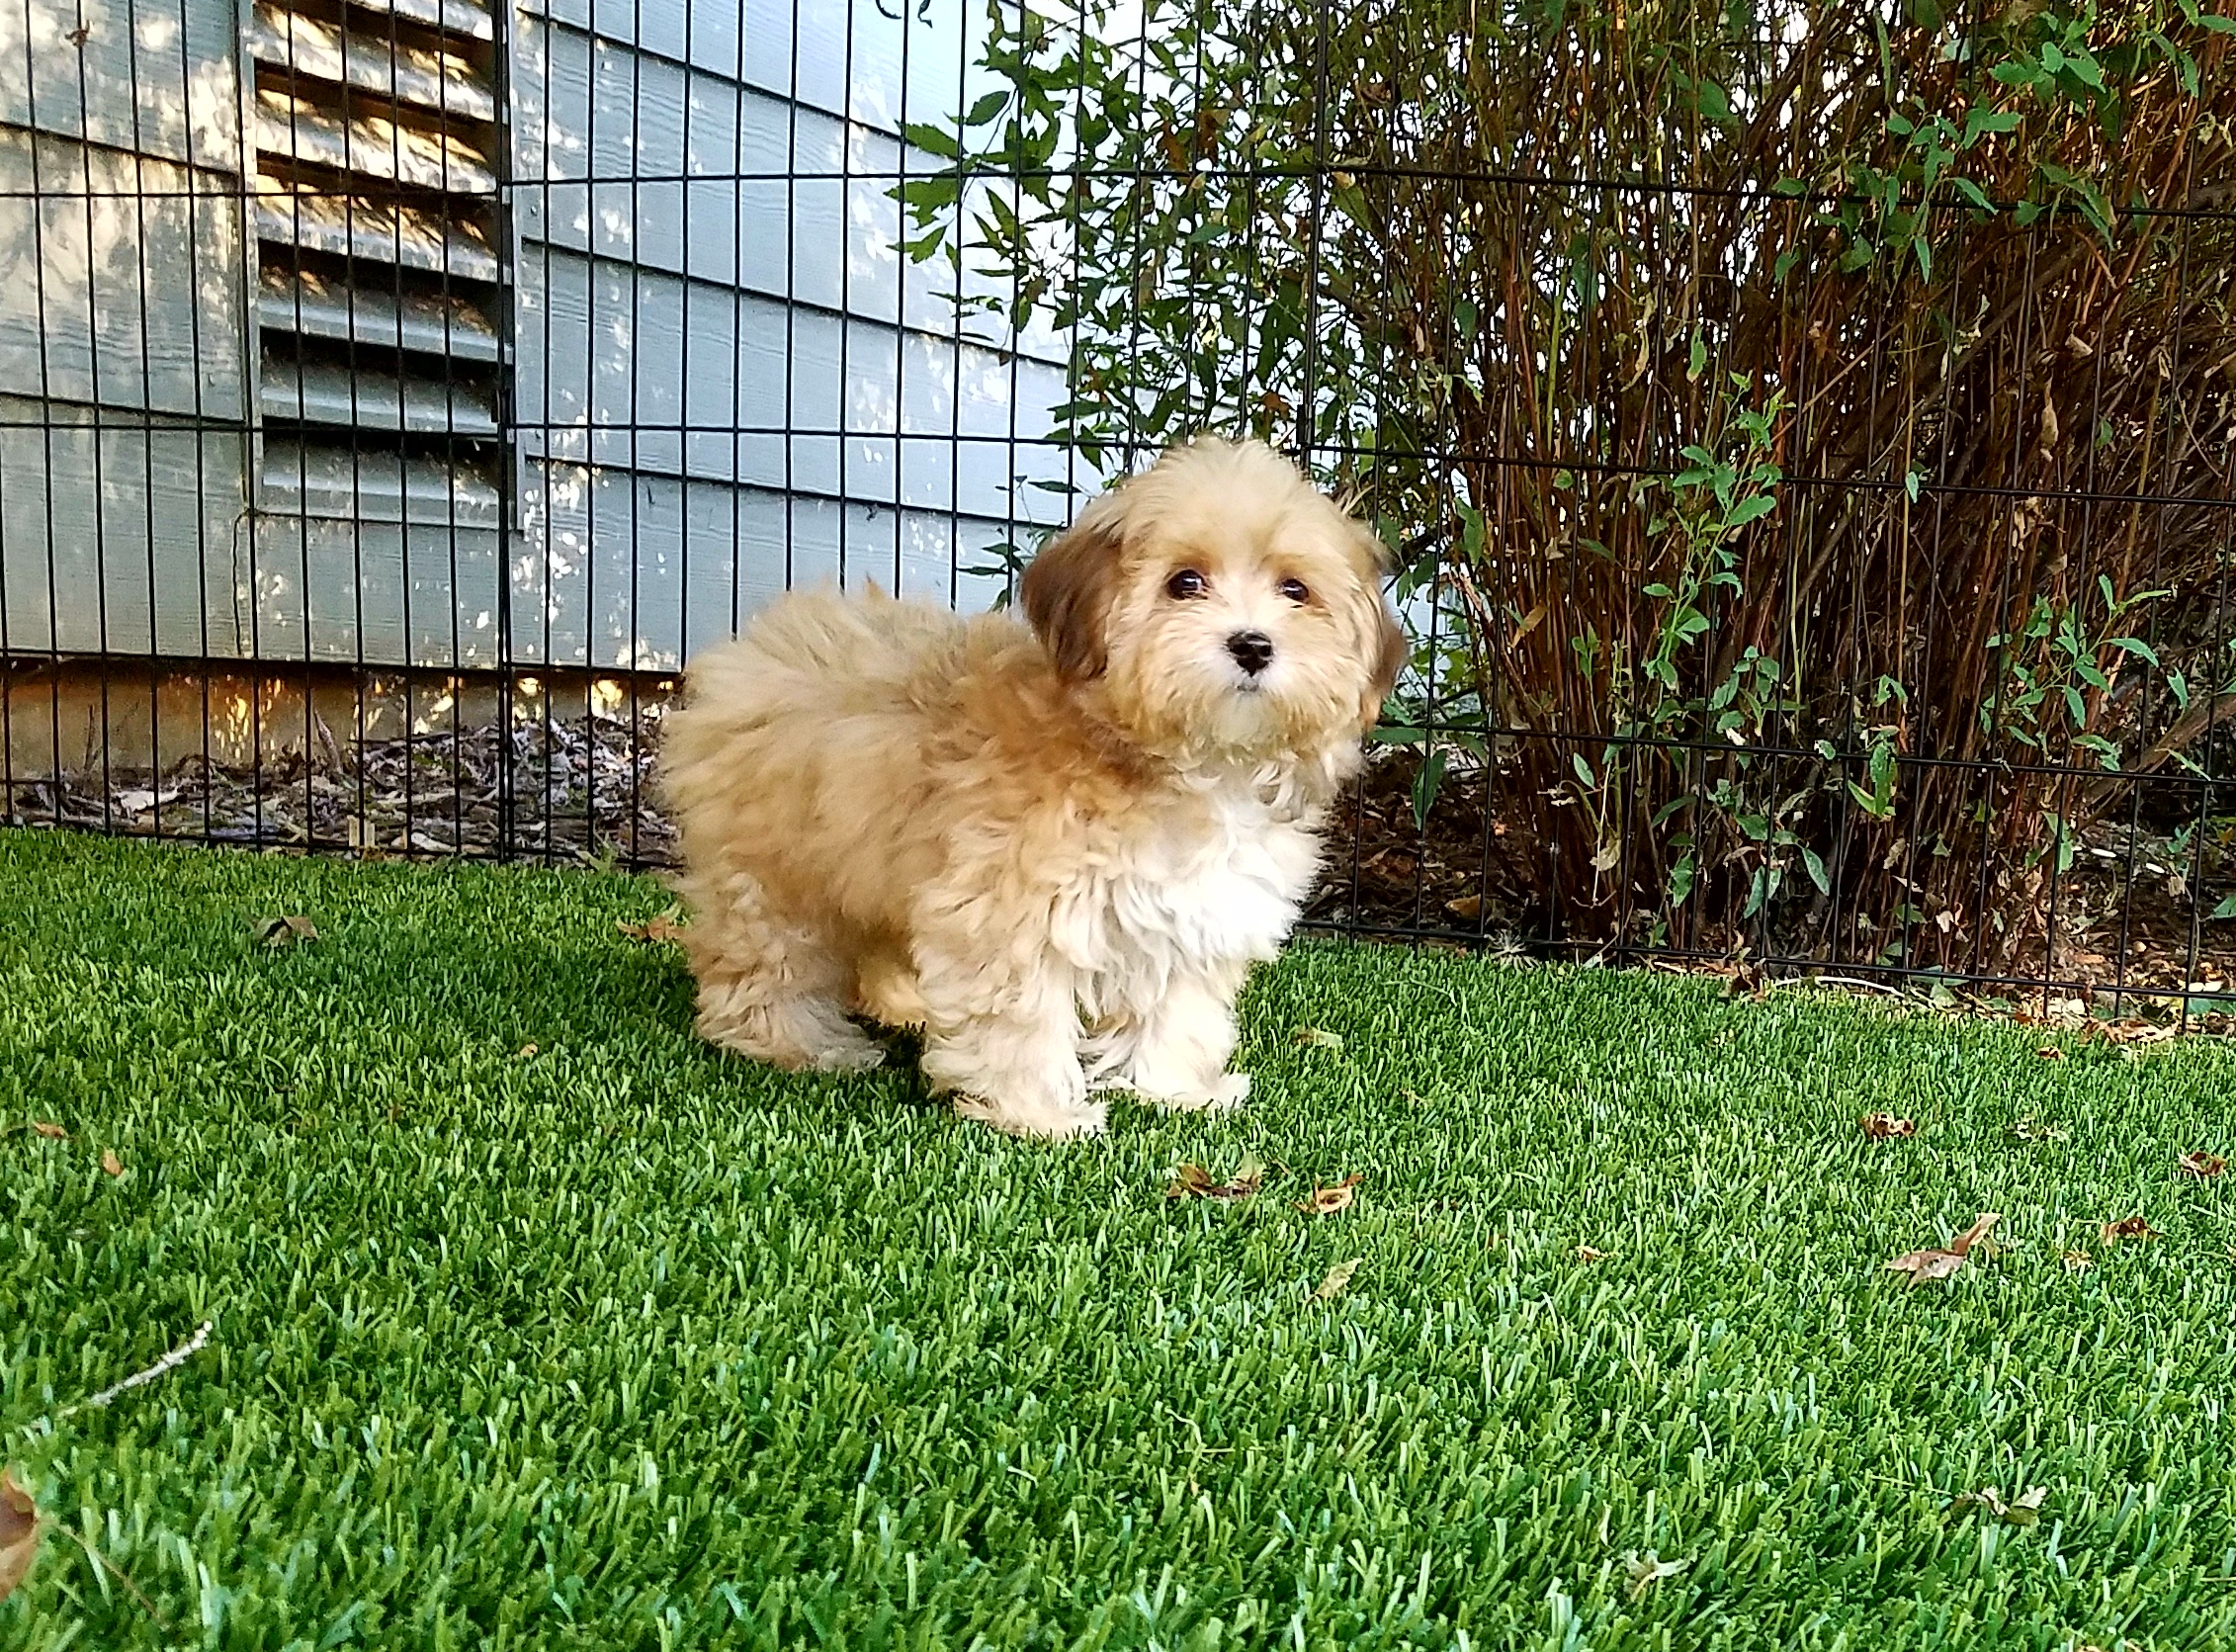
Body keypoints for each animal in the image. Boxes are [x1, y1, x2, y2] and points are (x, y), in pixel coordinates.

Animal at [652, 440, 1404, 1135]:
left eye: (1295, 590)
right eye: (1184, 582)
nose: (1252, 645)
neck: (1177, 761)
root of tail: (756, 645)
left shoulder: (1191, 916)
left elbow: (1176, 1007)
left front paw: (1175, 1090)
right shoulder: (1008, 911)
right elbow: (1019, 1015)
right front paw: (1039, 1114)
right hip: (775, 869)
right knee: (766, 960)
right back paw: (799, 1043)